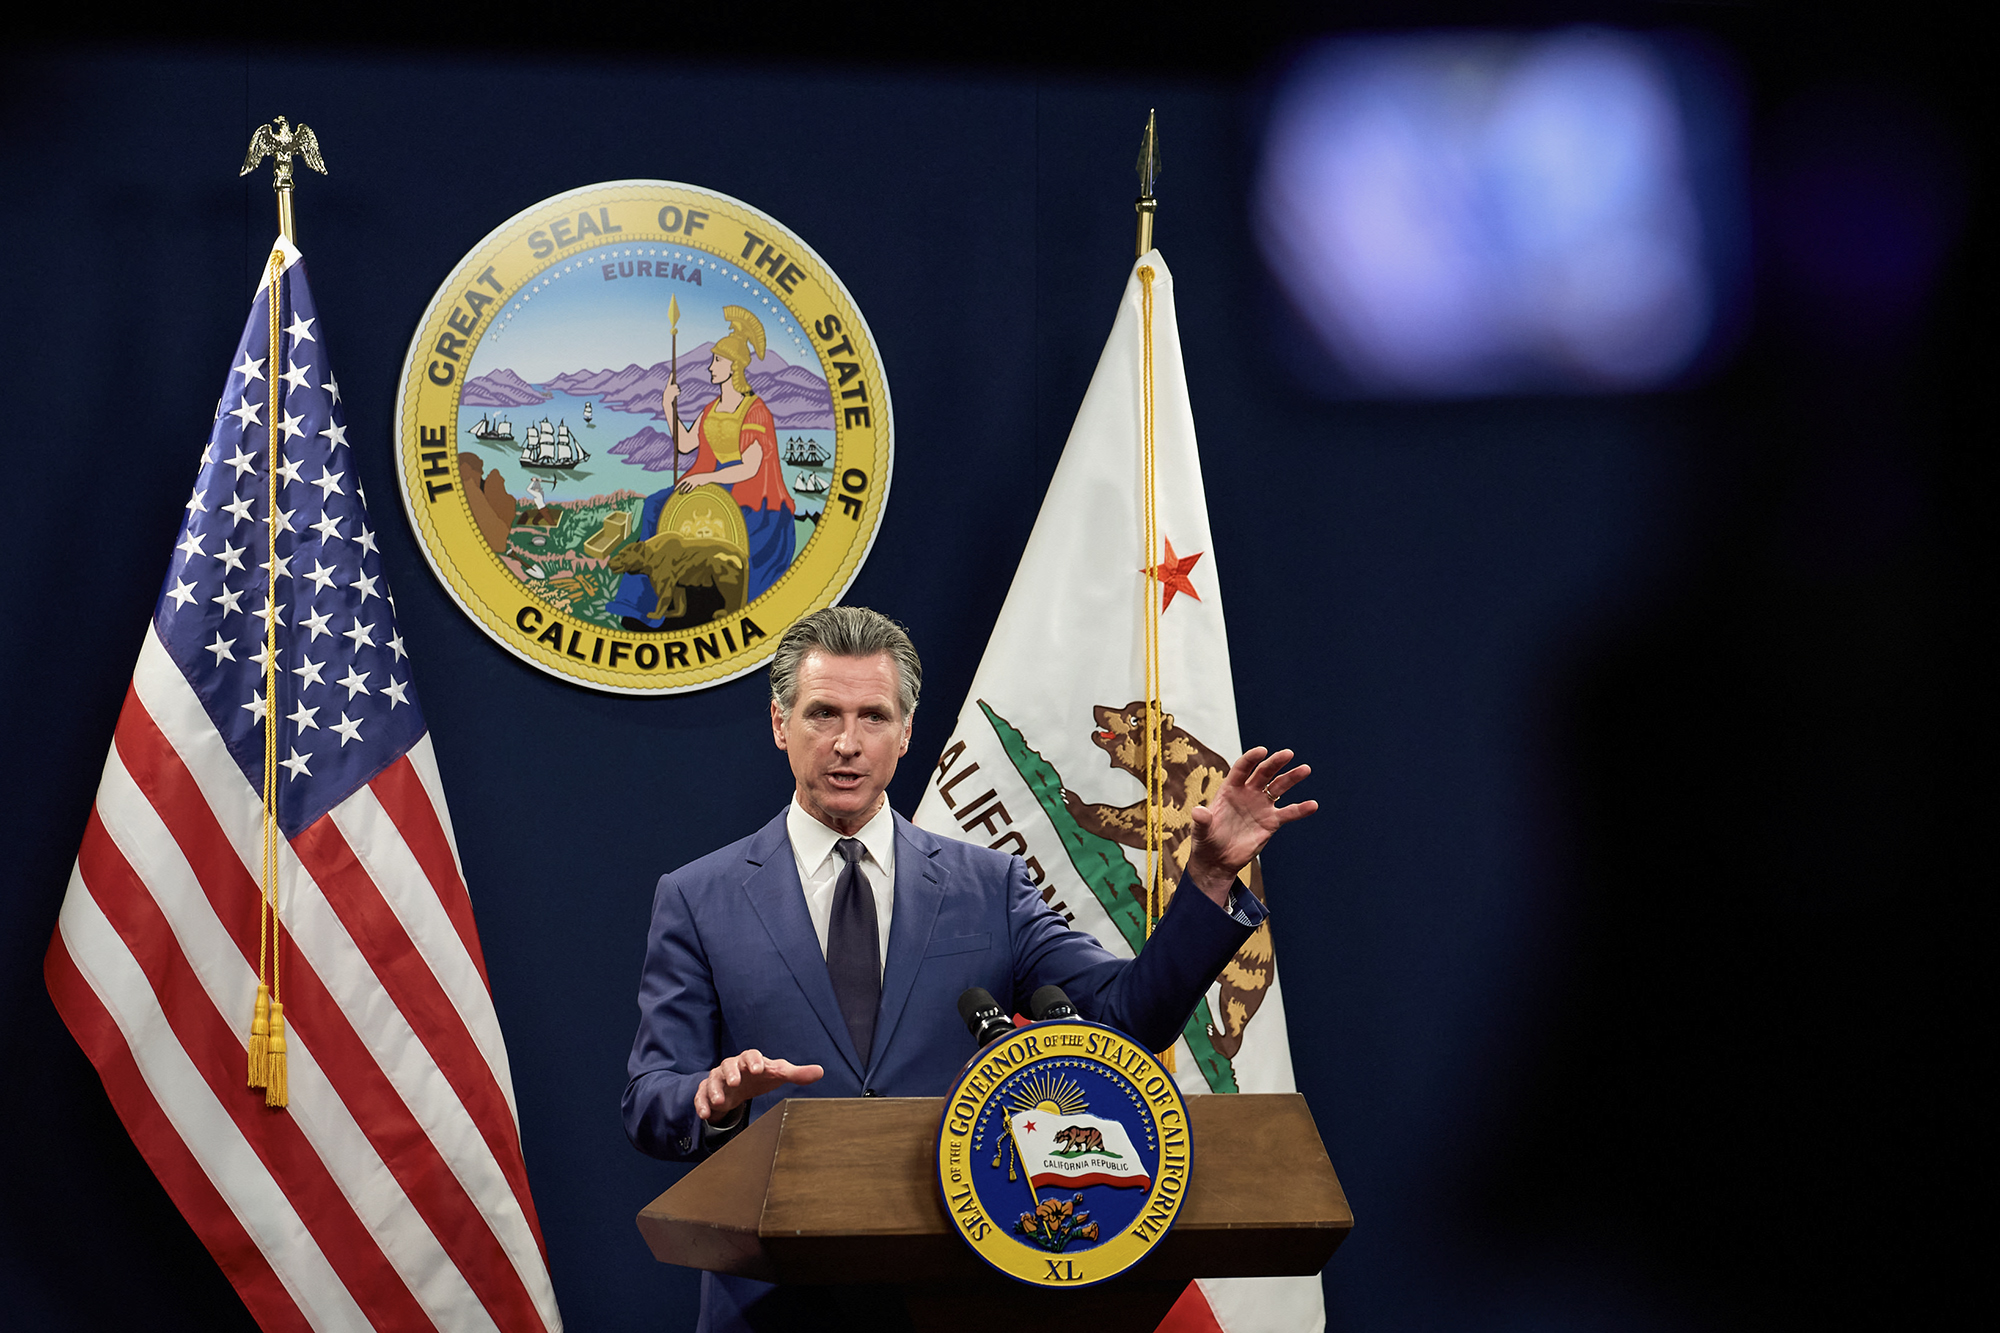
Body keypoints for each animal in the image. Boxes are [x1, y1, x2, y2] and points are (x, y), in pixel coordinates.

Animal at [1072, 696, 1272, 1056]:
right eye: (1124, 708)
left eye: (1133, 719)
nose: (1097, 708)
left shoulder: (1183, 796)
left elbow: (1142, 821)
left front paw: (1074, 802)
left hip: (1246, 972)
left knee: (1236, 1011)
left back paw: (1216, 1036)